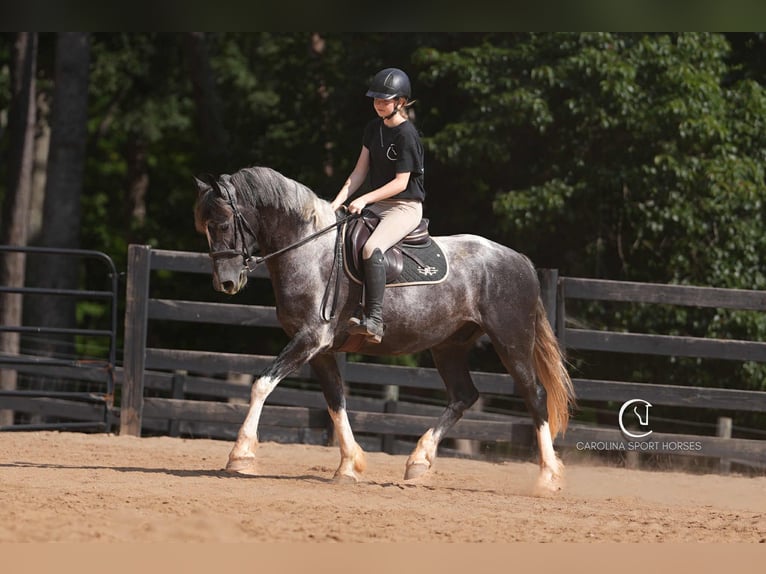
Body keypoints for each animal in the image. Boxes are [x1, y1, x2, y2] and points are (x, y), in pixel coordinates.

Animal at [194, 166, 575, 493]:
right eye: (206, 228)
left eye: (224, 224)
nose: (226, 283)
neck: (309, 251)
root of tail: (519, 260)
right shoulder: (320, 350)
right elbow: (336, 402)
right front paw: (349, 466)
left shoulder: (309, 339)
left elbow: (261, 384)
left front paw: (240, 455)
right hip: (448, 346)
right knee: (464, 396)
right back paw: (419, 461)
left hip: (511, 340)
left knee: (534, 395)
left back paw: (547, 477)